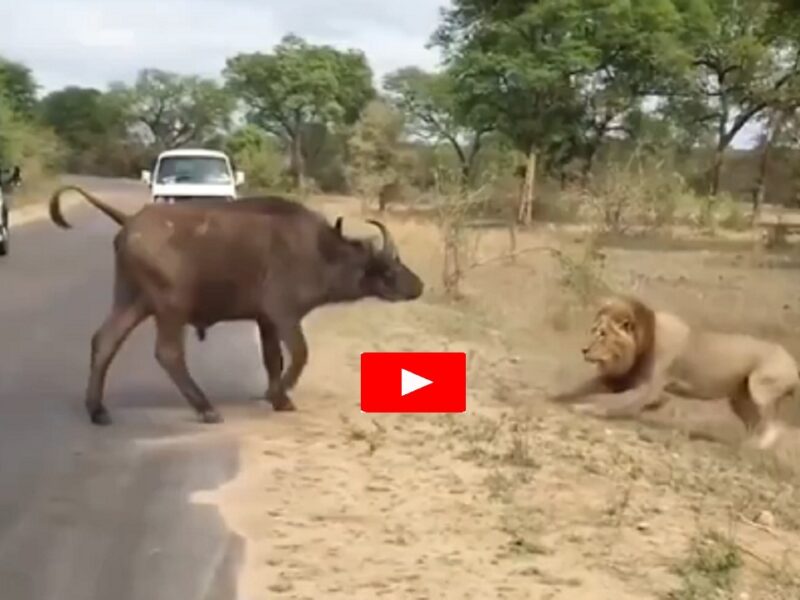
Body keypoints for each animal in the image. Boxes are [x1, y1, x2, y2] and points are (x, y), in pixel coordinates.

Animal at [49, 185, 424, 425]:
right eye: (390, 269)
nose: (418, 286)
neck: (320, 251)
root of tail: (130, 220)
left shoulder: (265, 321)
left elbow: (273, 359)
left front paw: (278, 397)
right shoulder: (284, 315)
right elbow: (300, 354)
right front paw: (279, 393)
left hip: (132, 300)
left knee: (105, 340)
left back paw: (97, 410)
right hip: (171, 306)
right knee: (168, 353)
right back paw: (205, 408)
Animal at [549, 293, 799, 450]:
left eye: (603, 334)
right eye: (593, 330)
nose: (583, 349)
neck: (642, 343)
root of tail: (793, 362)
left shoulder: (647, 389)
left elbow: (613, 403)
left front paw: (585, 408)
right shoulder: (622, 379)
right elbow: (582, 387)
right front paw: (554, 397)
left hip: (759, 389)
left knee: (774, 424)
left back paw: (758, 446)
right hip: (740, 399)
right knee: (754, 422)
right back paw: (742, 445)